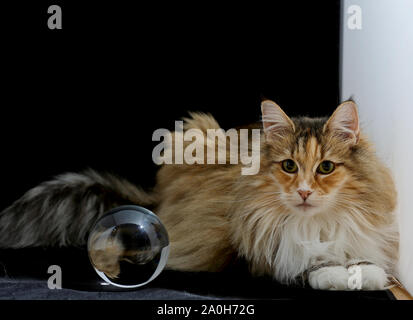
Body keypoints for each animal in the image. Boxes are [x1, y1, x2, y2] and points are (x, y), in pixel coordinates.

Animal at [0, 100, 400, 290]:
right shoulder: (264, 259)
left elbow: (361, 259)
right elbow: (308, 264)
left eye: (326, 168)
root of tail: (156, 201)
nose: (302, 192)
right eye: (289, 166)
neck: (315, 224)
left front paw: (364, 273)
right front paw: (334, 274)